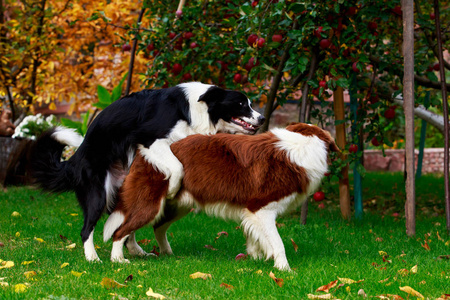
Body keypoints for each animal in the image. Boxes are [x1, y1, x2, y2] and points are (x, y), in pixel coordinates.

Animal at [31, 81, 264, 260]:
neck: (195, 108)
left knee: (124, 224)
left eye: (250, 104)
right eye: (241, 104)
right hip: (98, 192)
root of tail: (75, 158)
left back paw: (136, 251)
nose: (262, 119)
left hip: (123, 188)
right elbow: (177, 167)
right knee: (87, 229)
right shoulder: (150, 138)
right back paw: (93, 258)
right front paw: (172, 189)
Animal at [104, 123, 338, 270]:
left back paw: (166, 253)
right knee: (120, 231)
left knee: (156, 227)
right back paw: (118, 260)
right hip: (150, 204)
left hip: (175, 206)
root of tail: (141, 154)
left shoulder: (250, 212)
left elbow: (254, 237)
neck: (304, 145)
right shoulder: (261, 209)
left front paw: (256, 258)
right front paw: (284, 269)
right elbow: (277, 242)